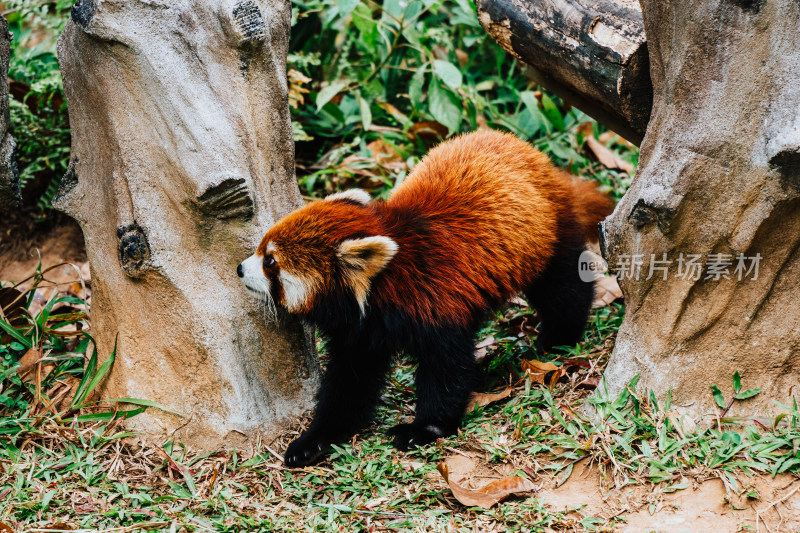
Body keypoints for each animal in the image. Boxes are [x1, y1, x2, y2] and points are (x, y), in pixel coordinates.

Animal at [236, 129, 612, 466]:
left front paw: (425, 429)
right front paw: (315, 439)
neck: (381, 289)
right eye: (261, 250)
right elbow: (350, 383)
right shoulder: (361, 332)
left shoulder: (434, 300)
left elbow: (446, 368)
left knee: (563, 287)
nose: (240, 269)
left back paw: (560, 335)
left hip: (546, 235)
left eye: (270, 262)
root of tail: (525, 148)